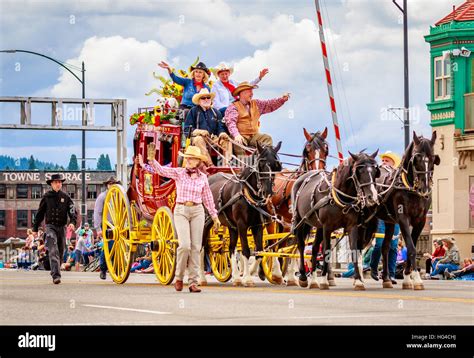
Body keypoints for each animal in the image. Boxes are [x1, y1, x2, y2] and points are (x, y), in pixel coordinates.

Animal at [290, 150, 380, 290]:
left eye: (375, 171)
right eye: (359, 171)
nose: (372, 196)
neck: (342, 197)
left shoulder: (352, 226)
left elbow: (354, 250)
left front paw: (358, 280)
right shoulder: (327, 226)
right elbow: (326, 250)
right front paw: (324, 280)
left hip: (318, 226)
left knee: (314, 248)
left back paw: (314, 280)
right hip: (301, 221)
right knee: (301, 245)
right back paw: (304, 277)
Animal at [370, 131, 440, 290]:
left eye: (433, 158)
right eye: (416, 157)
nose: (425, 188)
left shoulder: (420, 220)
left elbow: (410, 247)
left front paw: (408, 278)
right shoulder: (403, 218)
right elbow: (411, 248)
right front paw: (417, 279)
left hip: (389, 222)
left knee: (385, 247)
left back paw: (386, 279)